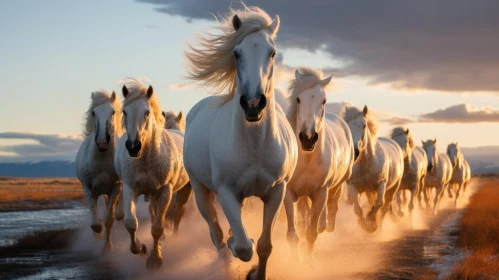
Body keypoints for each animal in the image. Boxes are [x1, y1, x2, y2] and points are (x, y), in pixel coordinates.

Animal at [76, 90, 124, 252]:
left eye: (113, 112)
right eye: (93, 112)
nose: (102, 142)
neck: (102, 160)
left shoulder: (116, 187)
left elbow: (109, 220)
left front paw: (107, 247)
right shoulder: (89, 188)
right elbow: (96, 224)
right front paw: (98, 236)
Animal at [114, 79, 190, 270]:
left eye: (147, 112)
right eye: (124, 111)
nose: (133, 147)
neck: (146, 160)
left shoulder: (165, 191)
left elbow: (157, 228)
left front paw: (155, 260)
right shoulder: (130, 188)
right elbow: (131, 223)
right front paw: (140, 248)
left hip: (184, 190)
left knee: (178, 213)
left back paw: (174, 238)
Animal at [185, 6, 298, 278]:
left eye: (272, 52)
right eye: (237, 53)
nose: (253, 103)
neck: (255, 145)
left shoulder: (277, 191)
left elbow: (265, 245)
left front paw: (258, 273)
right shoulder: (227, 192)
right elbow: (245, 247)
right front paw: (237, 246)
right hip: (200, 191)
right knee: (215, 233)